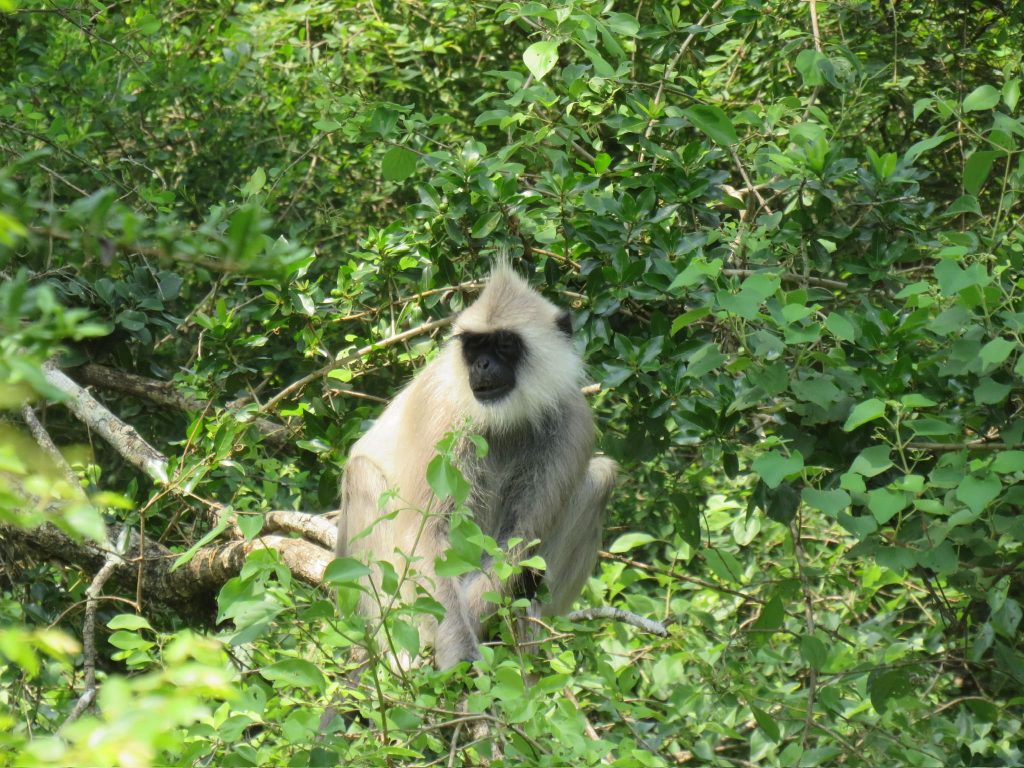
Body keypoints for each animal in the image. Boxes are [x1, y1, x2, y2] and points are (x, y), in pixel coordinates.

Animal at [335, 263, 617, 669]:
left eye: (504, 344)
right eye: (474, 347)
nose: (482, 364)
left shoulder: (573, 421)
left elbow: (517, 540)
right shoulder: (441, 409)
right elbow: (425, 534)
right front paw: (460, 659)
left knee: (601, 478)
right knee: (362, 473)